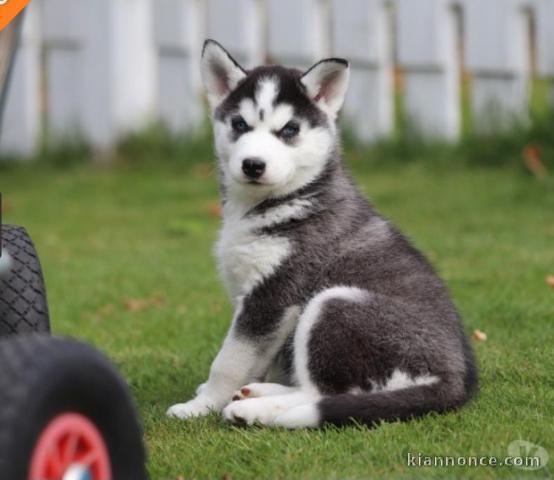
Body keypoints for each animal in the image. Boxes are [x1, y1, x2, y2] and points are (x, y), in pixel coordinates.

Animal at [166, 39, 476, 426]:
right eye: (239, 124)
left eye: (288, 130)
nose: (253, 165)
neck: (283, 201)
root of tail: (454, 379)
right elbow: (256, 359)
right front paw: (223, 392)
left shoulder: (274, 295)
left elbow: (230, 360)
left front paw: (201, 405)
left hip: (335, 304)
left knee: (323, 394)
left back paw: (254, 409)